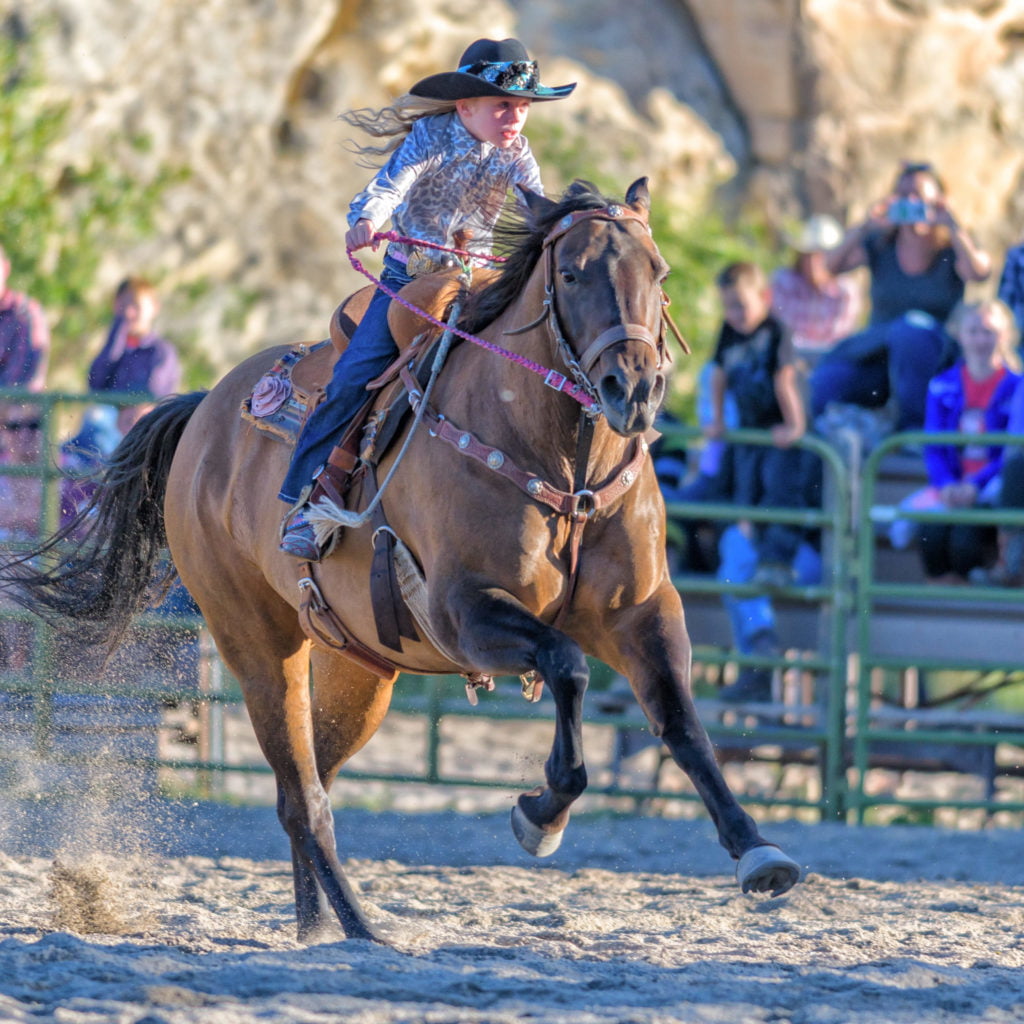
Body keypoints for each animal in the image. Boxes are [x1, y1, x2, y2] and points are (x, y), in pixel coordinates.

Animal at [0, 178, 798, 942]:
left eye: (657, 271)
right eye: (570, 274)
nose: (633, 389)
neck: (563, 466)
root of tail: (204, 413)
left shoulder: (642, 611)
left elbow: (681, 721)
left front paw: (757, 850)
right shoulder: (466, 612)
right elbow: (568, 667)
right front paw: (540, 815)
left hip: (361, 671)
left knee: (309, 780)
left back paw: (315, 926)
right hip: (257, 645)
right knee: (302, 795)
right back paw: (358, 927)